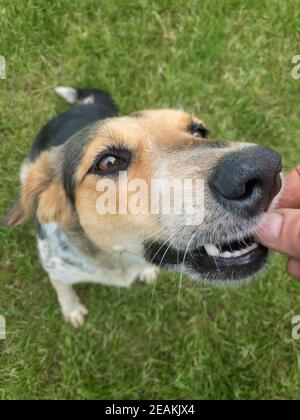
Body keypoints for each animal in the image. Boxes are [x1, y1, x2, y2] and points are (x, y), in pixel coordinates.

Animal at [0, 86, 282, 328]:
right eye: (108, 162)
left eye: (199, 132)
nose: (268, 171)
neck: (117, 259)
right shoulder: (57, 271)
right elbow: (63, 289)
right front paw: (72, 310)